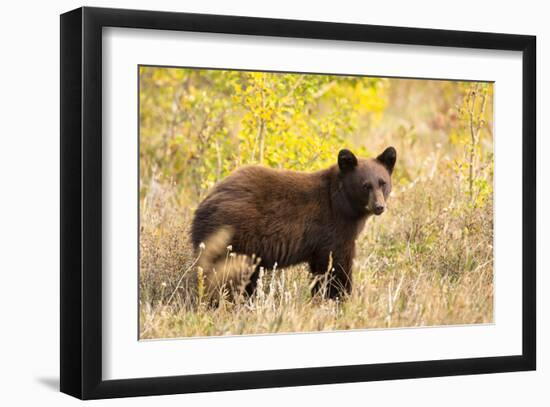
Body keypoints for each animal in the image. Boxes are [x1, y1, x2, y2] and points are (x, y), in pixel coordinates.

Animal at [191, 148, 396, 302]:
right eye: (365, 185)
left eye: (383, 183)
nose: (379, 206)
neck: (342, 204)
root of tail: (204, 205)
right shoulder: (332, 229)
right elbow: (336, 266)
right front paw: (339, 297)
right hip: (235, 239)